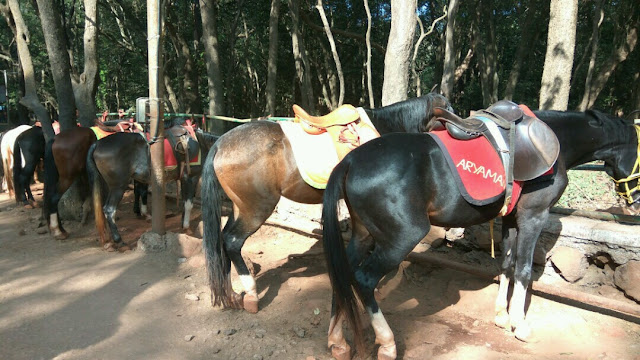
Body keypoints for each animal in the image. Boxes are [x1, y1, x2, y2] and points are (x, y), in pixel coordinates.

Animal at [86, 128, 219, 246]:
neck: (200, 143)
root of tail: (97, 144)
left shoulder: (183, 179)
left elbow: (184, 201)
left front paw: (183, 224)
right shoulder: (191, 177)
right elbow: (188, 204)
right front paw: (186, 227)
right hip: (118, 186)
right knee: (109, 209)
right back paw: (119, 240)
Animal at [199, 94, 450, 314]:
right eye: (447, 109)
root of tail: (220, 143)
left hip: (240, 207)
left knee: (222, 239)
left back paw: (231, 295)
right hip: (256, 209)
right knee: (232, 241)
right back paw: (250, 293)